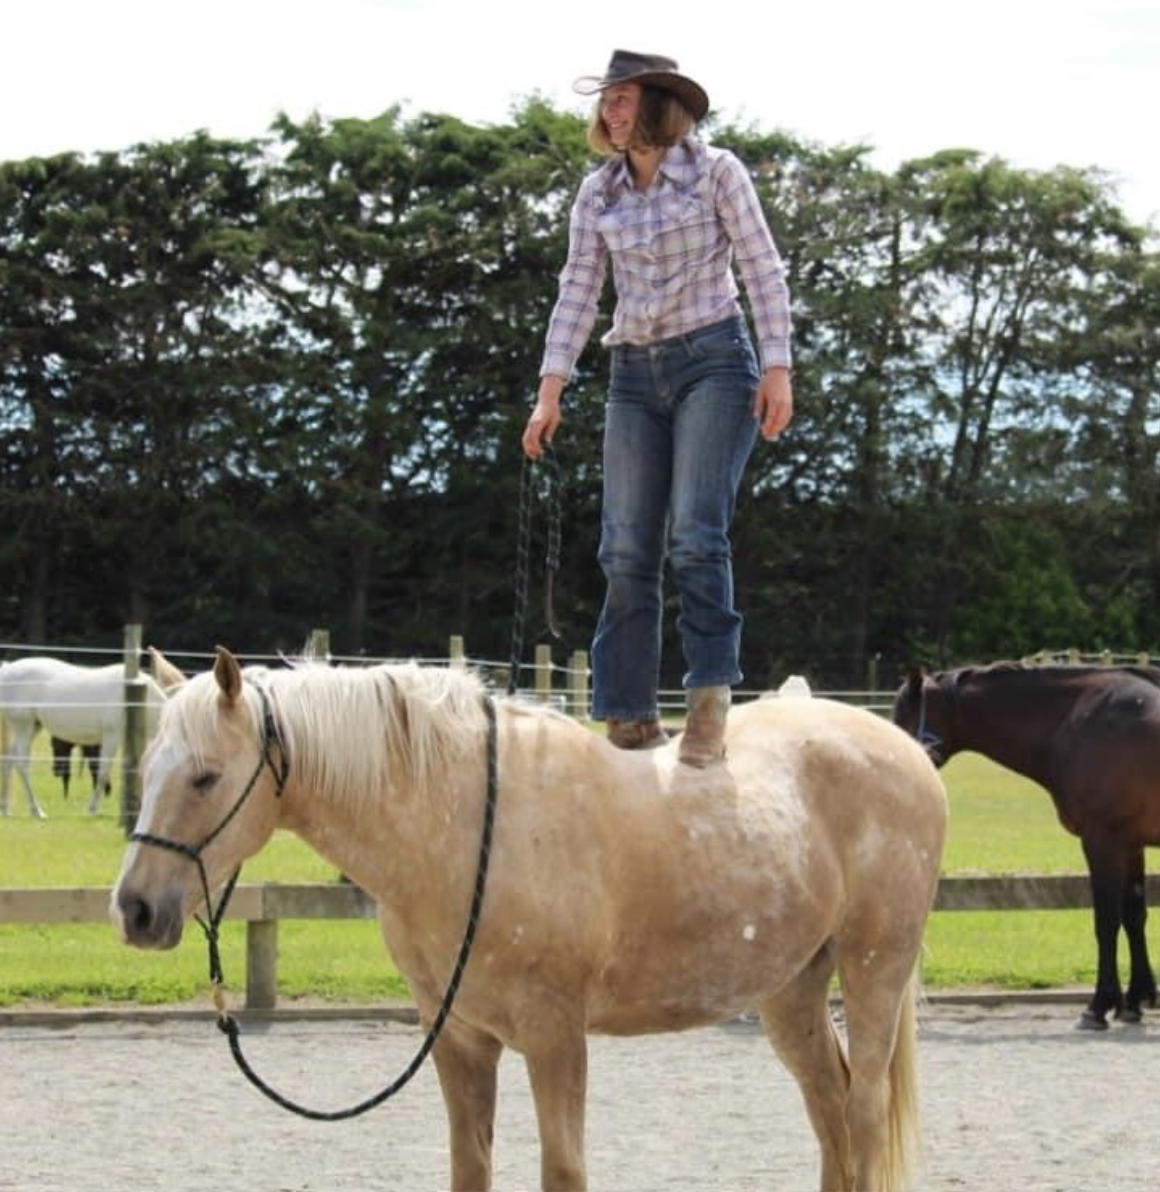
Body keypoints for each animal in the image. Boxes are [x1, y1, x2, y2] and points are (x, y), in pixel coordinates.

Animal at [0, 656, 172, 817]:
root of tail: (7, 669)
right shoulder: (111, 737)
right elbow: (102, 773)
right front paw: (92, 809)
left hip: (34, 727)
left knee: (9, 759)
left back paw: (6, 809)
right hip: (24, 727)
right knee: (22, 764)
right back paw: (37, 811)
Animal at [112, 647, 947, 1192]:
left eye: (206, 777)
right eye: (149, 768)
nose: (135, 908)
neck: (463, 825)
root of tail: (901, 746)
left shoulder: (554, 1036)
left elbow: (562, 1170)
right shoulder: (457, 1037)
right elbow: (471, 1166)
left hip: (874, 969)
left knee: (862, 1116)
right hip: (792, 989)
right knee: (831, 1114)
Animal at [892, 661, 1160, 1030]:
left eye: (903, 715)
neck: (1079, 720)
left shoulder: (1102, 841)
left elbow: (1106, 922)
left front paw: (1097, 1006)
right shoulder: (1130, 843)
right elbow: (1133, 916)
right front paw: (1134, 1001)